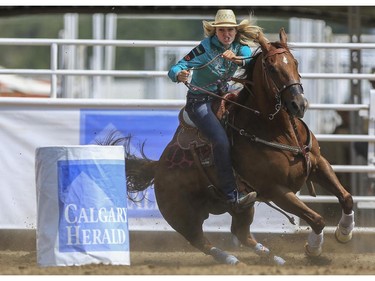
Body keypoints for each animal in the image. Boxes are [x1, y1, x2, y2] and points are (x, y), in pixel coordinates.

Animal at [117, 29, 356, 264]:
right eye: (272, 67)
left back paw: (273, 259)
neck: (278, 132)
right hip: (181, 215)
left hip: (243, 208)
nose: (299, 104)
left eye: (295, 63)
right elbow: (317, 219)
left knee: (241, 234)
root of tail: (157, 166)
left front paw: (344, 233)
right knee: (200, 241)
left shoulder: (318, 164)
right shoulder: (276, 190)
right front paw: (313, 251)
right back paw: (230, 259)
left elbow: (346, 198)